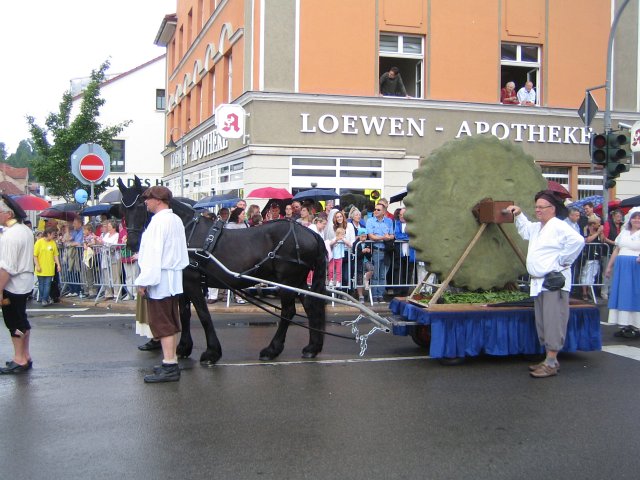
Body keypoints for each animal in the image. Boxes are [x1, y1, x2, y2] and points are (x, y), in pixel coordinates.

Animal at [119, 178, 328, 366]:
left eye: (141, 204)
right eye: (123, 208)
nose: (132, 243)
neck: (185, 231)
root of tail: (311, 233)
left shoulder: (193, 282)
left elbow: (203, 314)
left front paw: (211, 352)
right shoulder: (182, 283)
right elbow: (184, 314)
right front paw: (184, 348)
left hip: (287, 281)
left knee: (289, 311)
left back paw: (272, 350)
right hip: (298, 281)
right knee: (310, 306)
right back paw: (312, 347)